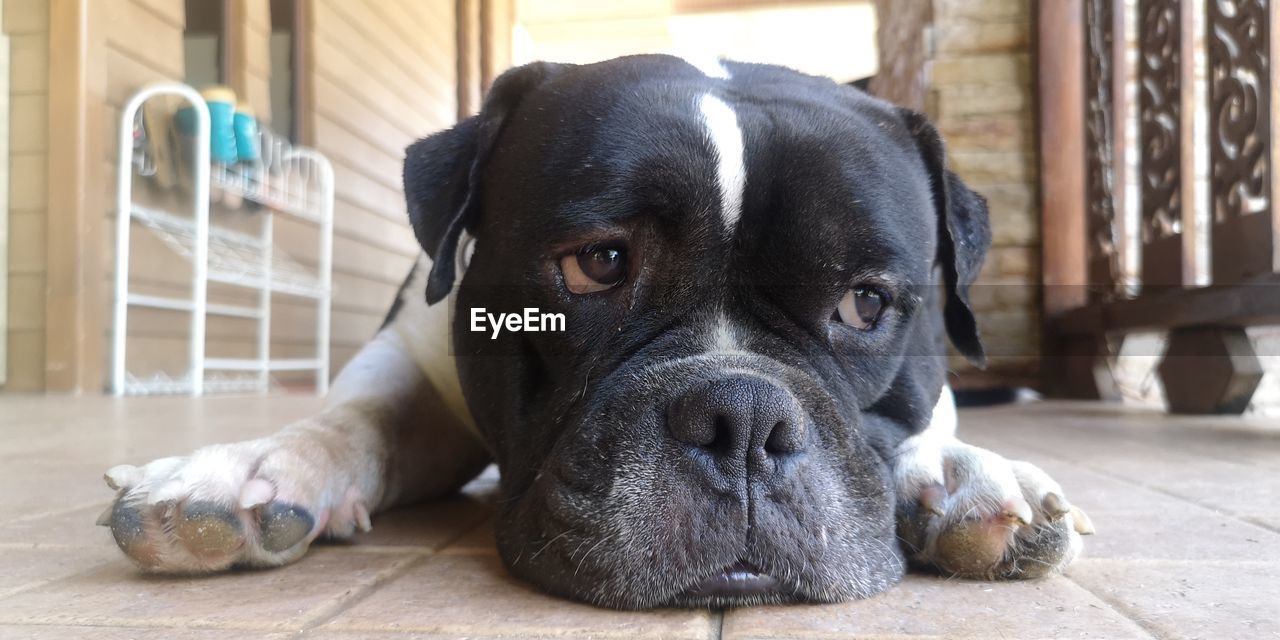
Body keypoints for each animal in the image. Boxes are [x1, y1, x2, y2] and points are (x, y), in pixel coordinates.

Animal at [104, 56, 1095, 609]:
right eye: (598, 263)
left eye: (865, 304)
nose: (742, 419)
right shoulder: (411, 358)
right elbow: (356, 416)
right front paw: (255, 466)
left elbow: (933, 426)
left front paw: (958, 473)